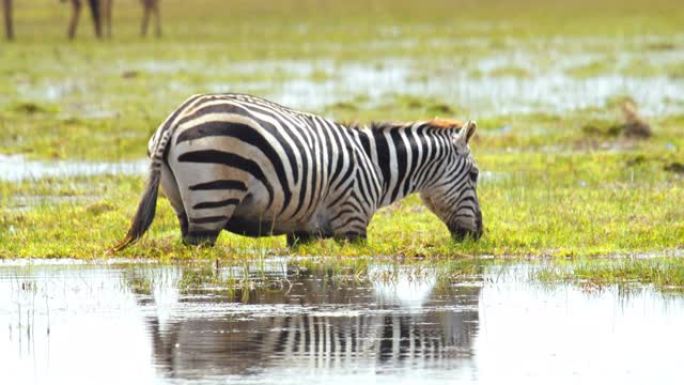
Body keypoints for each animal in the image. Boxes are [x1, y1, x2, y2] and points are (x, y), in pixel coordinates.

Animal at [113, 93, 480, 249]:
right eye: (475, 175)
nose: (478, 235)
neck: (374, 165)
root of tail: (173, 120)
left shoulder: (303, 232)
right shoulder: (352, 224)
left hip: (182, 204)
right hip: (212, 201)